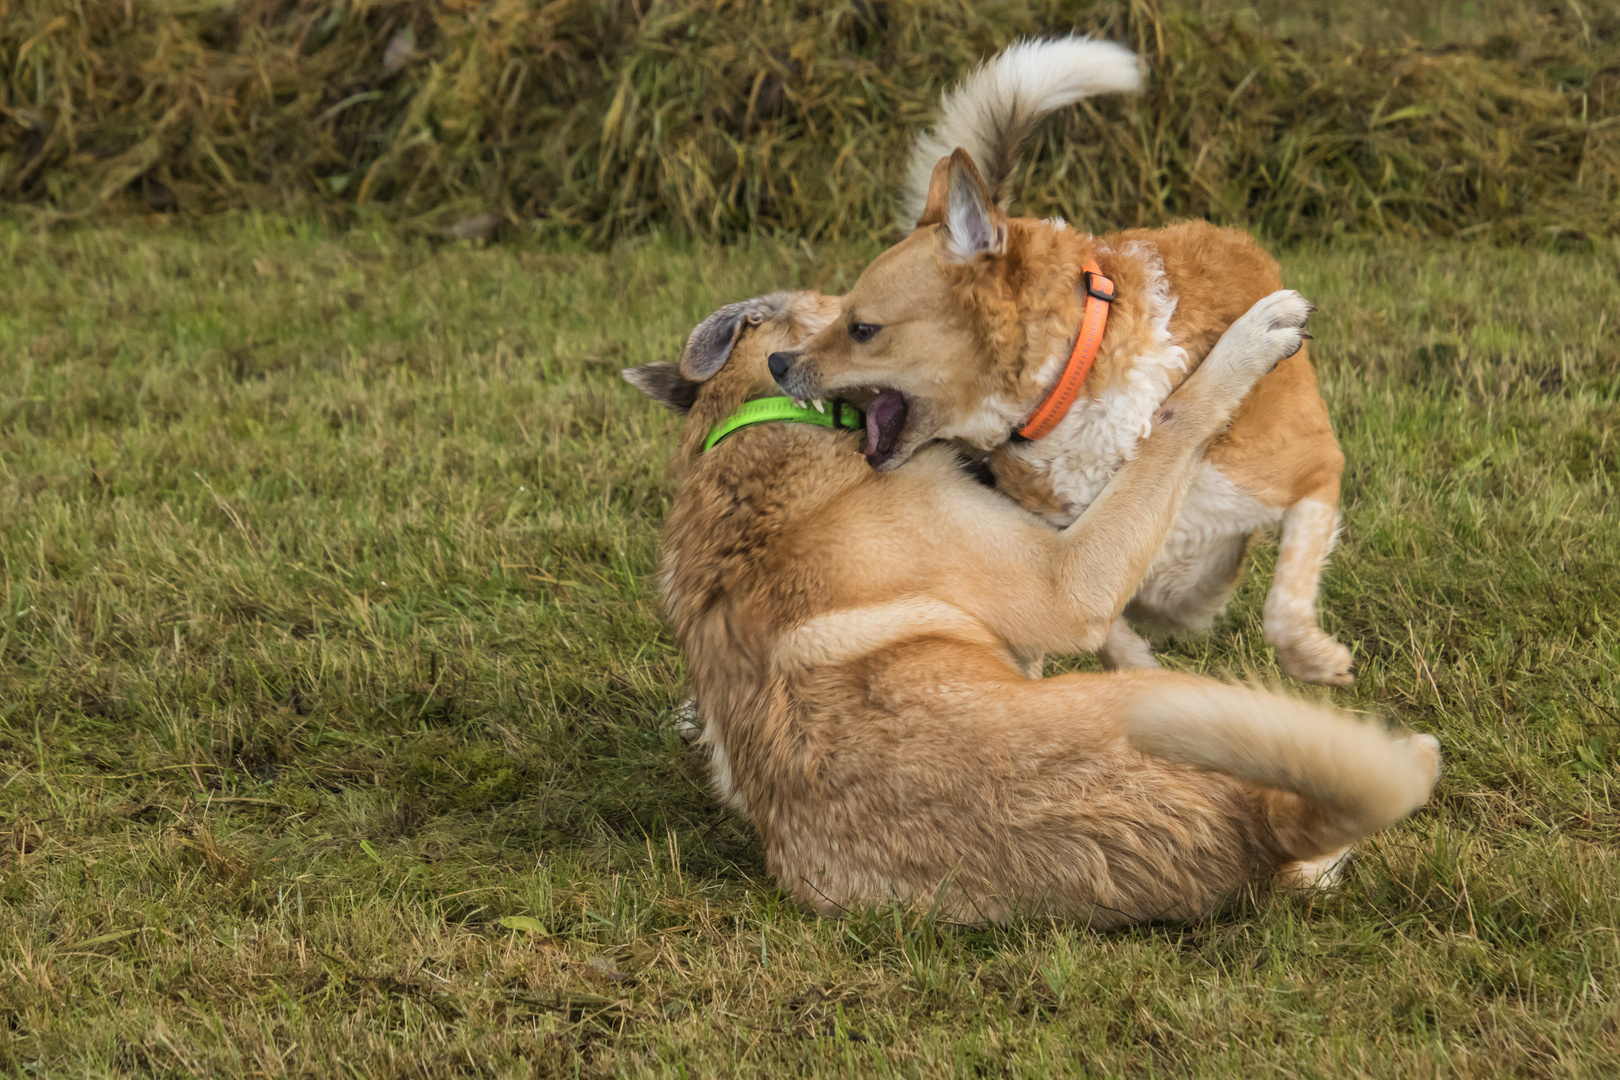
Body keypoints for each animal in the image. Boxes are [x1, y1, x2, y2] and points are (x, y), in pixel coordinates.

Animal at [771, 42, 1354, 689]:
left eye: (861, 329)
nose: (776, 362)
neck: (1071, 382)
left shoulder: (1312, 474)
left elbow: (1283, 609)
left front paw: (1317, 659)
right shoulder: (1093, 571)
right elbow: (1114, 636)